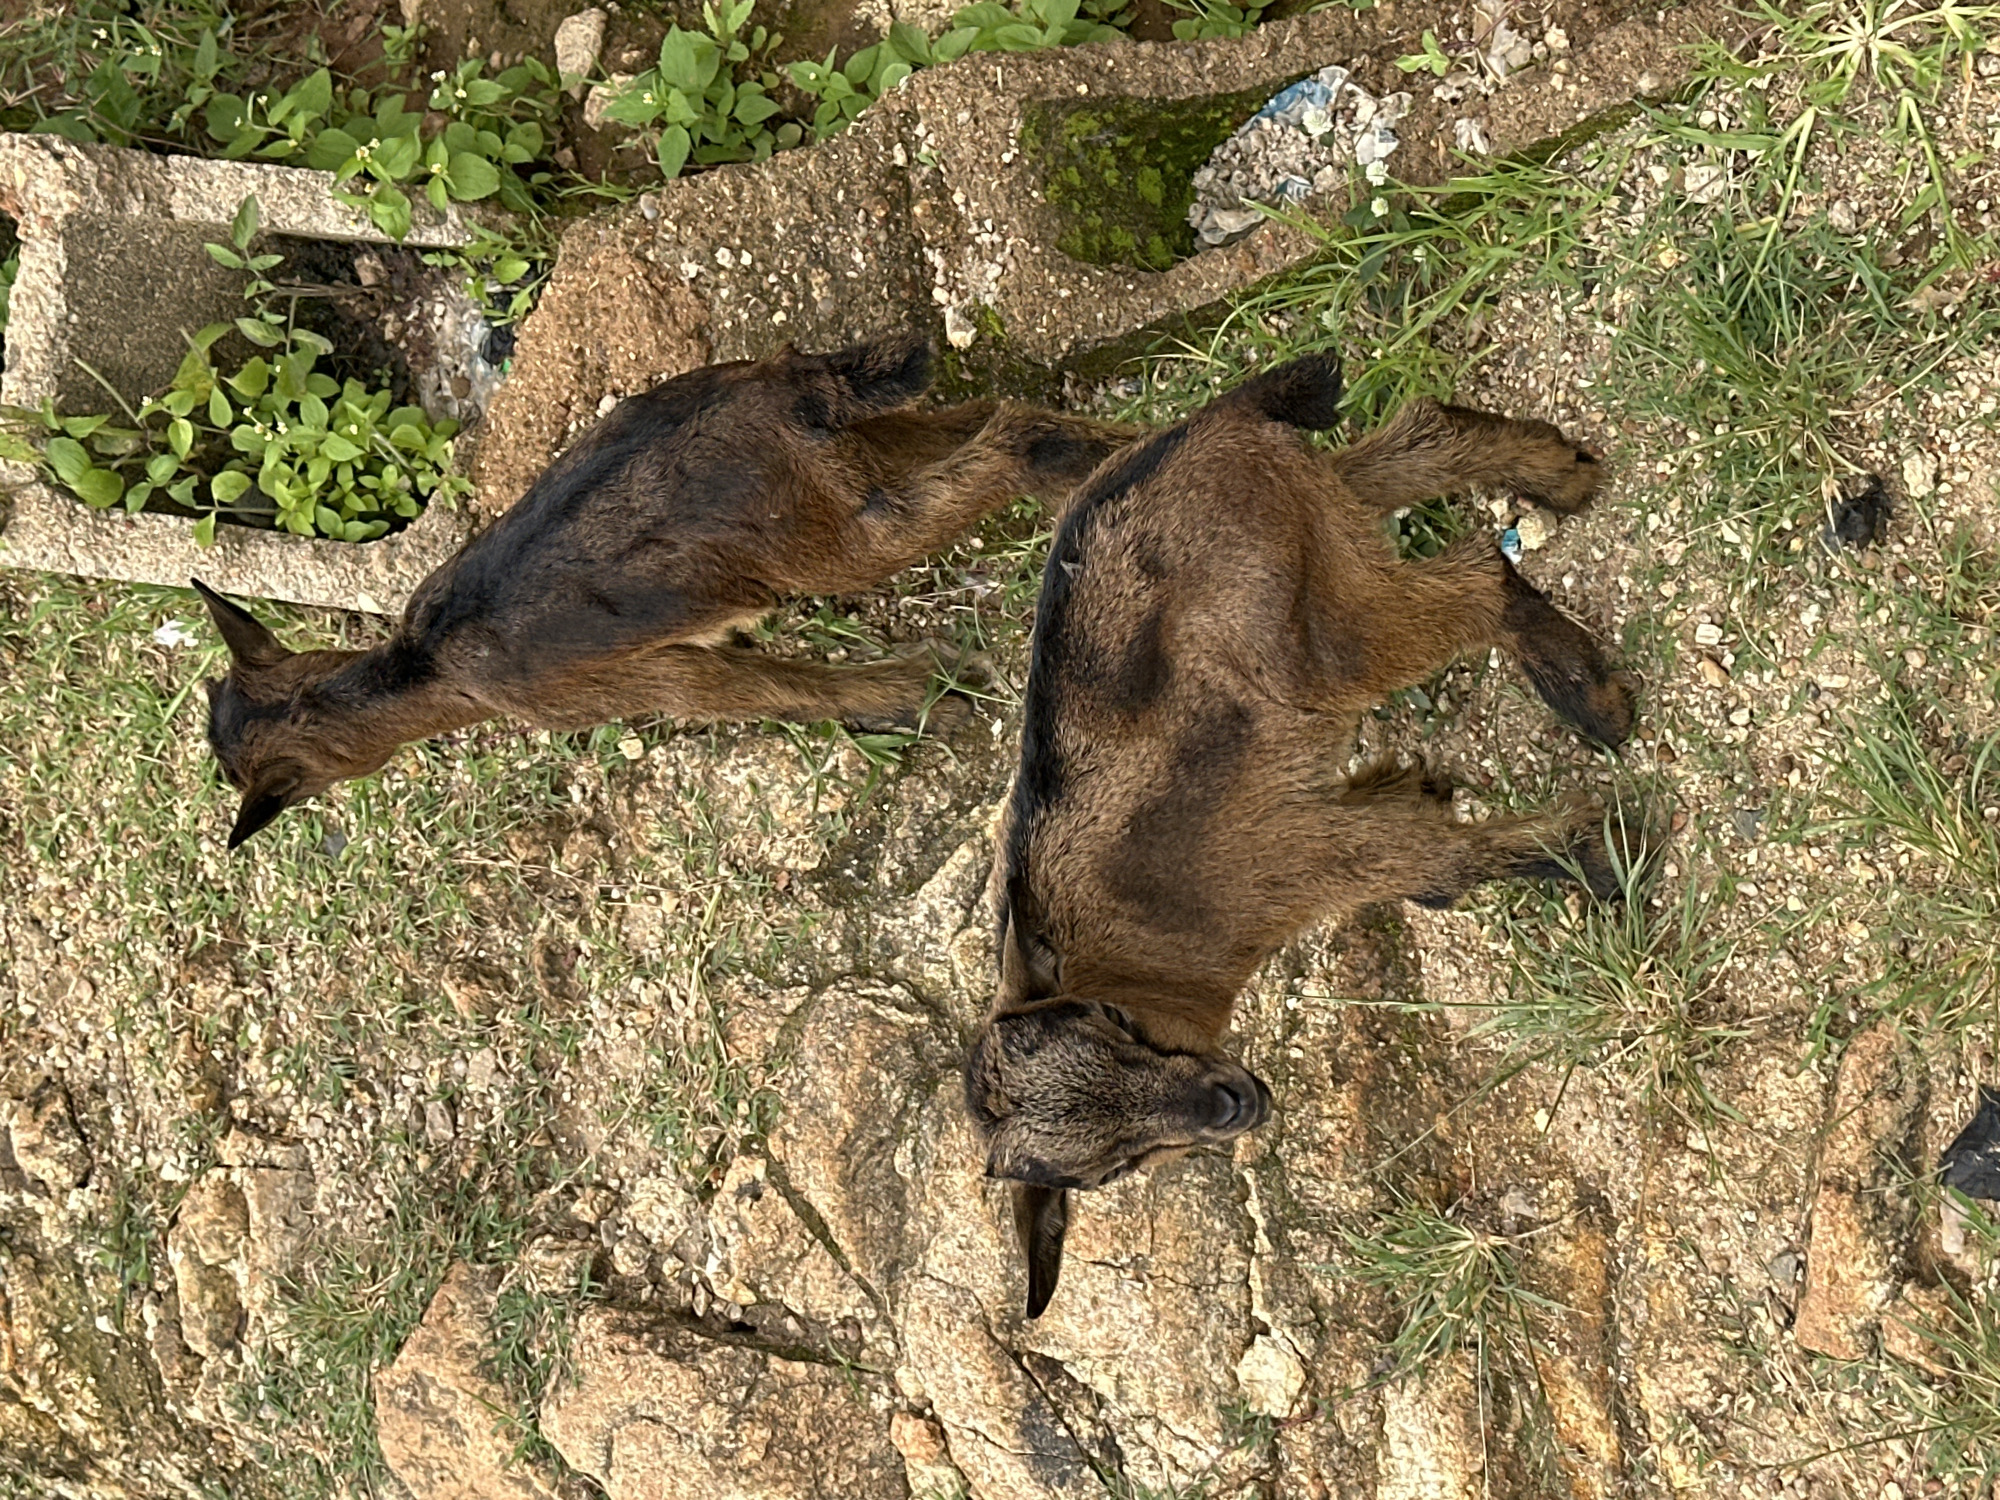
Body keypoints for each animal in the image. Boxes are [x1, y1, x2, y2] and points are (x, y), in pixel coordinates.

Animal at [195, 335, 1132, 849]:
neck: (427, 668)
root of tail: (783, 384)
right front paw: (926, 692)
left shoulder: (647, 680)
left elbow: (780, 693)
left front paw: (928, 696)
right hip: (853, 461)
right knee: (983, 415)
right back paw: (1123, 454)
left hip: (823, 542)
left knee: (1006, 438)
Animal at [962, 353, 1635, 1318]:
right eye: (1107, 1172)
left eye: (1115, 1023)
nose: (1229, 1106)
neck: (1143, 958)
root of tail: (1195, 429)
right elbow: (1425, 844)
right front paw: (1450, 793)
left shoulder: (1294, 856)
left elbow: (1437, 864)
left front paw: (1603, 850)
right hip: (1314, 527)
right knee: (1403, 451)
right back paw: (1556, 473)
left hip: (1320, 624)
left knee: (1477, 574)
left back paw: (1590, 694)